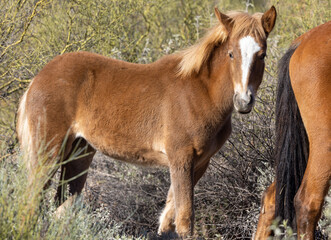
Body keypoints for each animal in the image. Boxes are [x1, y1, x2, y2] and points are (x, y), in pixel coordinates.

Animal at [17, 6, 278, 237]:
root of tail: (38, 79)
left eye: (262, 55)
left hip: (79, 152)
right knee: (31, 202)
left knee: (62, 206)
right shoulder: (181, 159)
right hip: (48, 153)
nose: (243, 101)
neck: (200, 92)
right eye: (231, 53)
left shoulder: (199, 163)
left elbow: (169, 218)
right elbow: (185, 219)